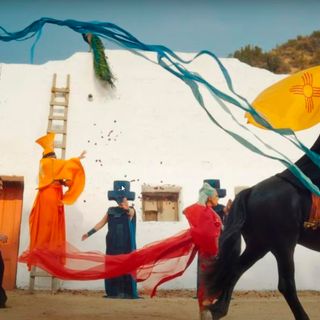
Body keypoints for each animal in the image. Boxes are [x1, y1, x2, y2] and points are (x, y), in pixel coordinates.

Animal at [204, 136, 320, 320]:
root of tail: (250, 191)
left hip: (259, 246)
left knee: (235, 269)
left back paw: (217, 310)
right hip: (283, 246)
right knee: (286, 285)